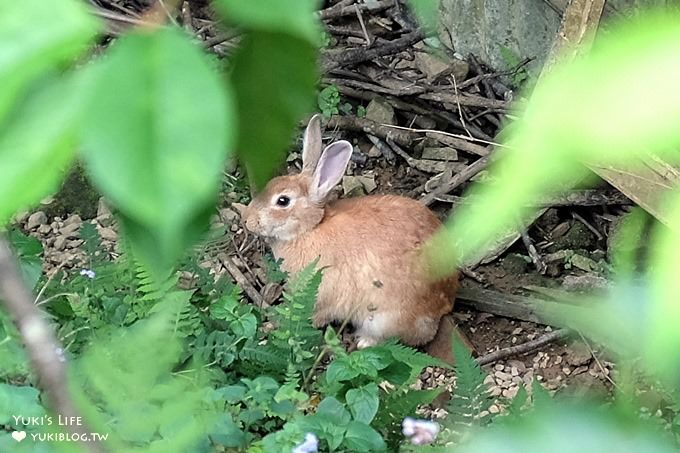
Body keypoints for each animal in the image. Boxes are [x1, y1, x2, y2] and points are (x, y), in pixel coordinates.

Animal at [242, 115, 460, 352]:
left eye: (283, 201)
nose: (247, 220)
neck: (310, 229)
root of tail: (445, 304)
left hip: (384, 318)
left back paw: (364, 341)